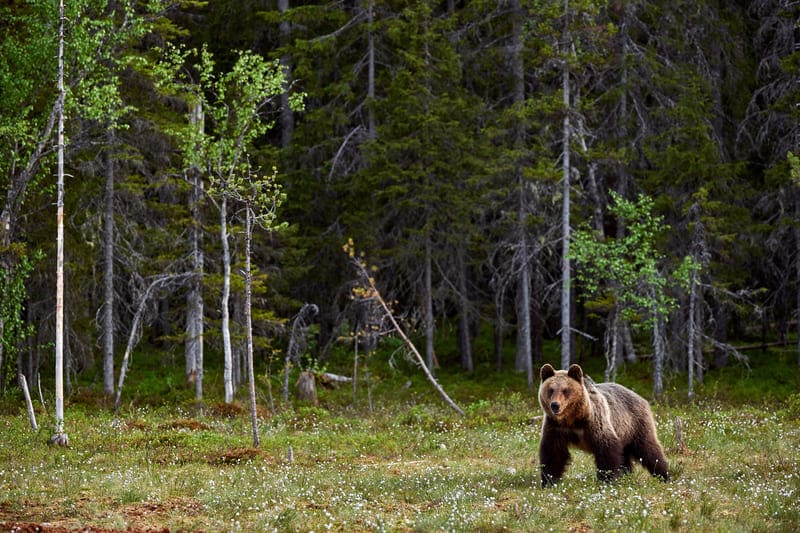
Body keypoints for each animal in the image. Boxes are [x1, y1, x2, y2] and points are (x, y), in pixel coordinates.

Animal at [538, 363, 670, 486]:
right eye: (551, 390)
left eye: (566, 390)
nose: (555, 405)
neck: (572, 419)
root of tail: (640, 396)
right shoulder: (556, 428)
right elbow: (553, 453)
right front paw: (549, 481)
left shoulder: (595, 423)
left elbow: (606, 449)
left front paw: (607, 479)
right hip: (623, 433)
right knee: (625, 456)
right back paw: (627, 475)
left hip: (636, 423)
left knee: (648, 449)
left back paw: (664, 475)